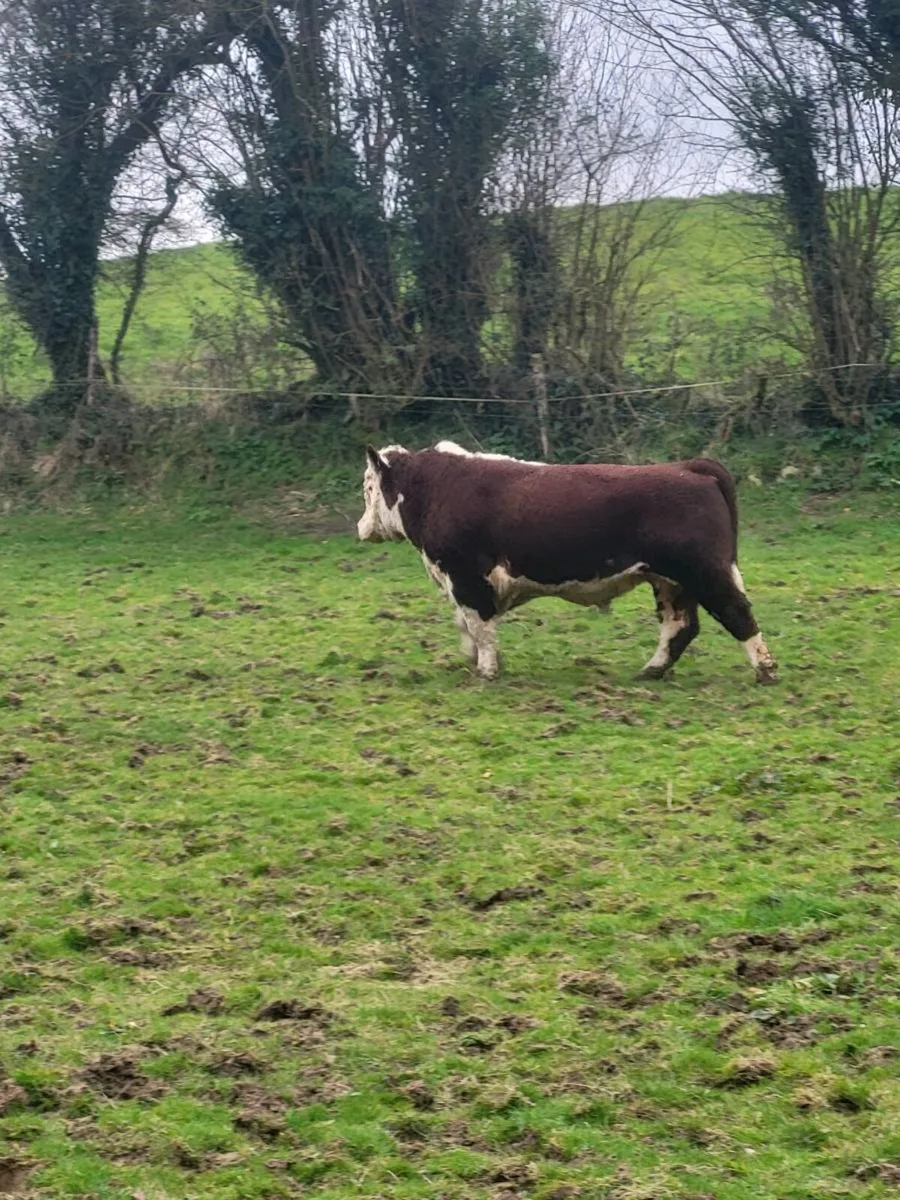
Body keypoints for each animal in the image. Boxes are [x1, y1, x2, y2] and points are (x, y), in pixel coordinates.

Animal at [356, 440, 777, 685]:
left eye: (367, 486)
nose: (361, 528)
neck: (438, 488)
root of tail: (689, 466)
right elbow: (468, 625)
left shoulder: (467, 577)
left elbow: (480, 626)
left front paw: (487, 670)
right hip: (672, 581)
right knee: (680, 626)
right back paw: (651, 670)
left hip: (706, 571)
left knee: (738, 614)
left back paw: (765, 671)